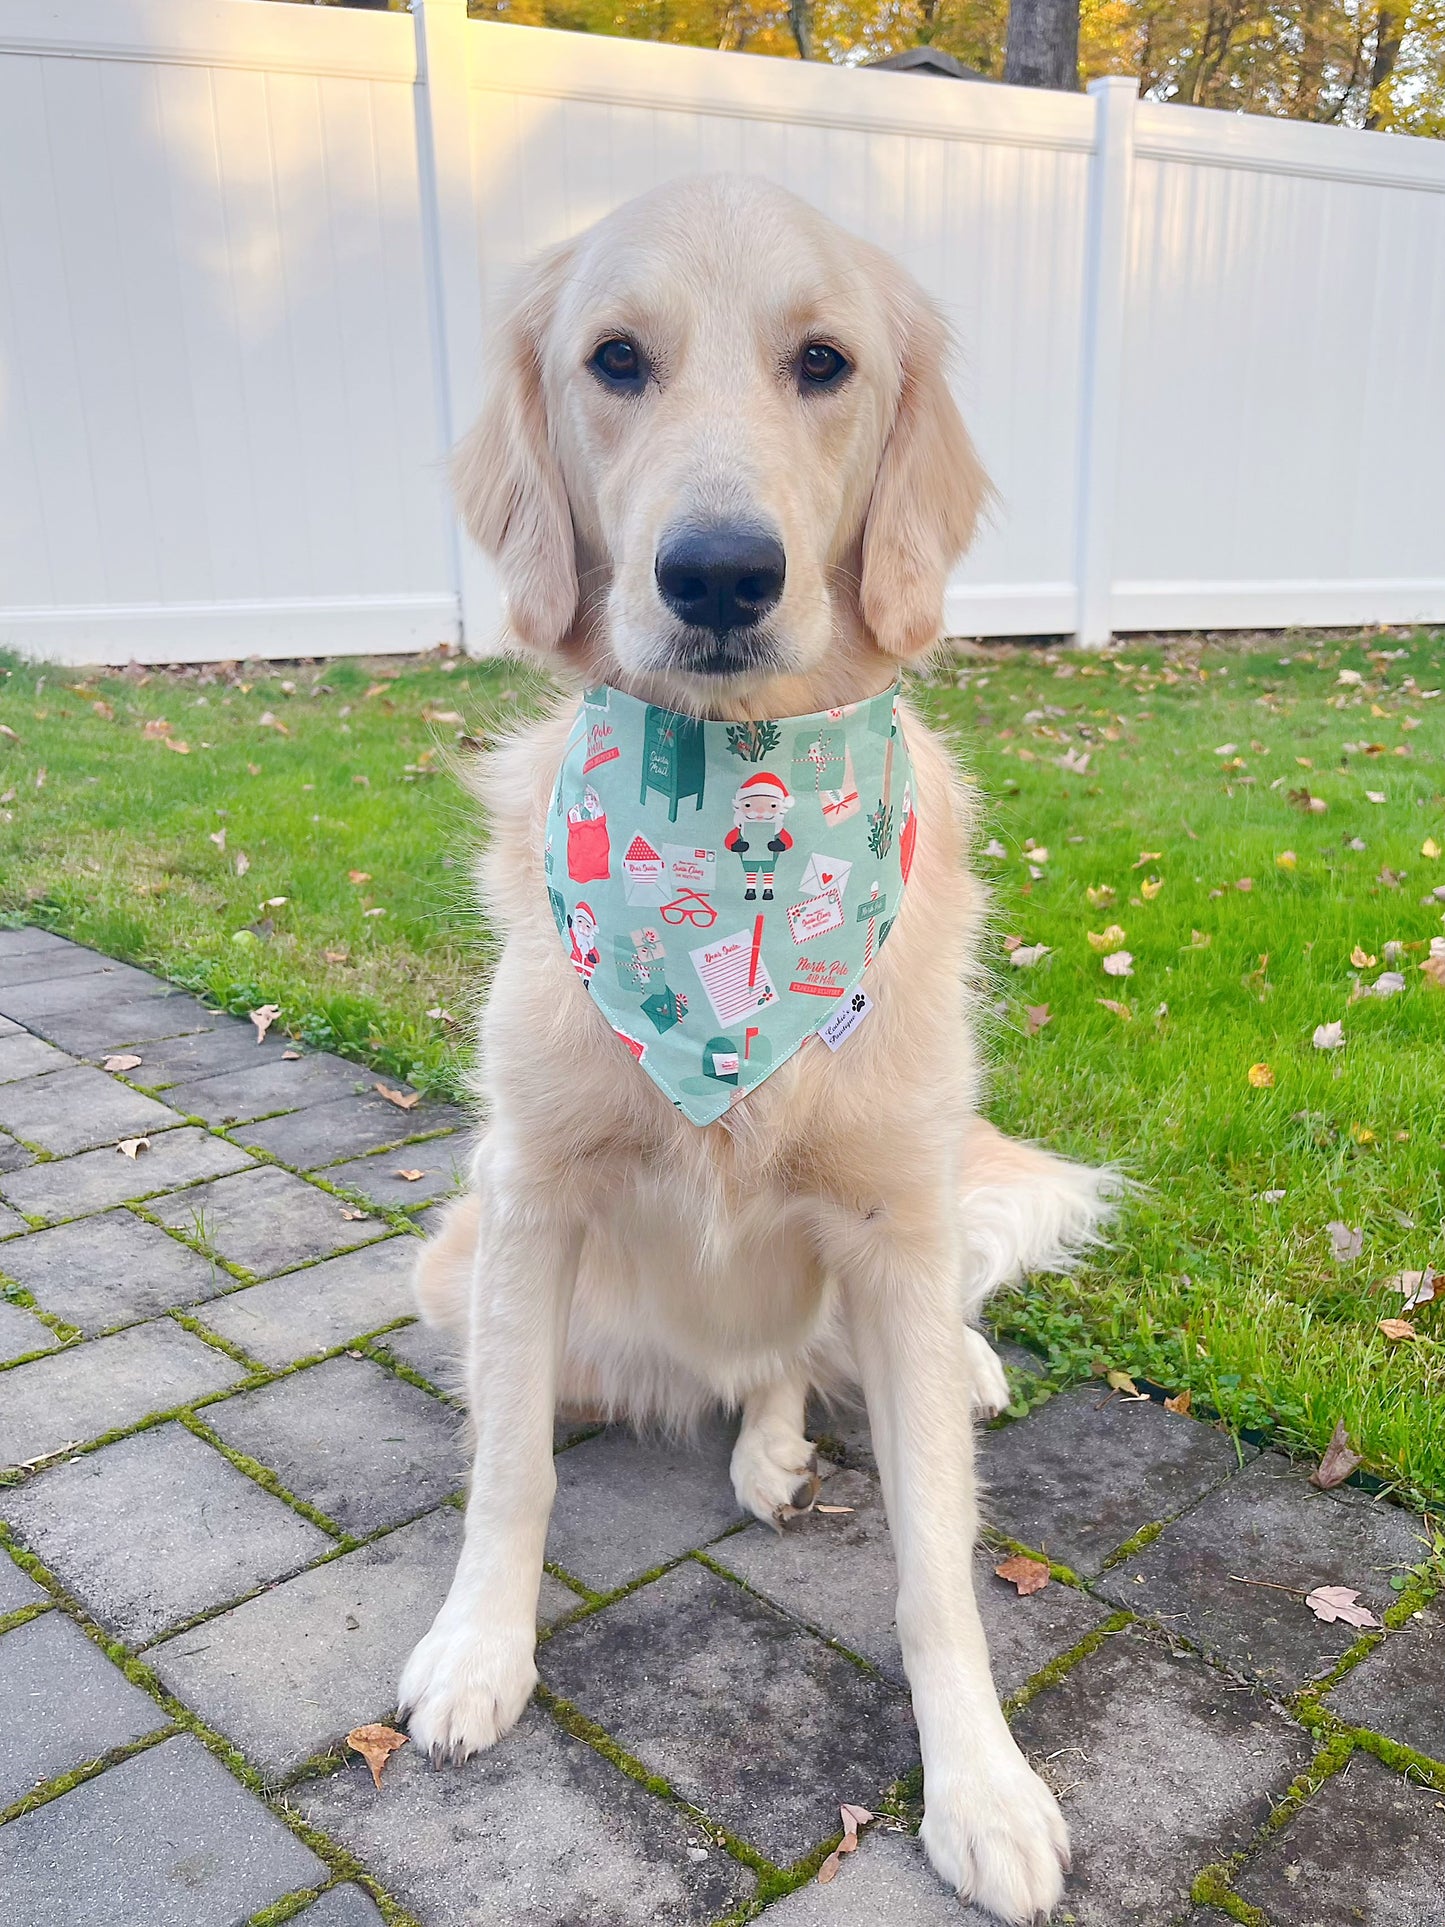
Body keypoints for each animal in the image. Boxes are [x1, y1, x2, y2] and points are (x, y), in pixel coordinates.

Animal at [402, 173, 1117, 1919]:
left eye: (823, 362)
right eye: (613, 358)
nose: (720, 572)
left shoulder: (892, 1213)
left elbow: (938, 1559)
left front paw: (981, 1782)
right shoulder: (526, 1194)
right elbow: (504, 1470)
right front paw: (478, 1643)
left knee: (848, 1351)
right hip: (461, 1264)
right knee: (717, 1376)